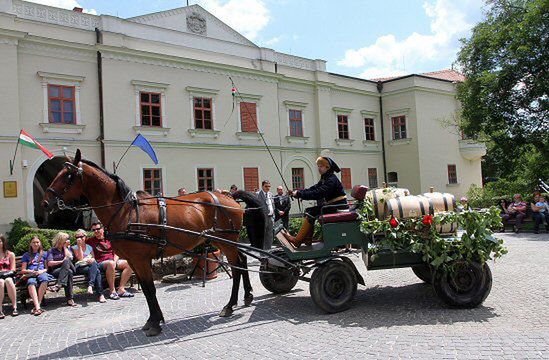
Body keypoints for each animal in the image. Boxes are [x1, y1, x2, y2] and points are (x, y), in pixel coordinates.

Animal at [40, 148, 268, 334]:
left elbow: (150, 289)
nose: (45, 202)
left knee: (237, 268)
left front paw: (156, 323)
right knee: (241, 262)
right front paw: (153, 320)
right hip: (225, 241)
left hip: (226, 240)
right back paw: (246, 296)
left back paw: (229, 305)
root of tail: (228, 196)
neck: (125, 212)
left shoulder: (141, 259)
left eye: (68, 175)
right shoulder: (133, 261)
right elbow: (146, 289)